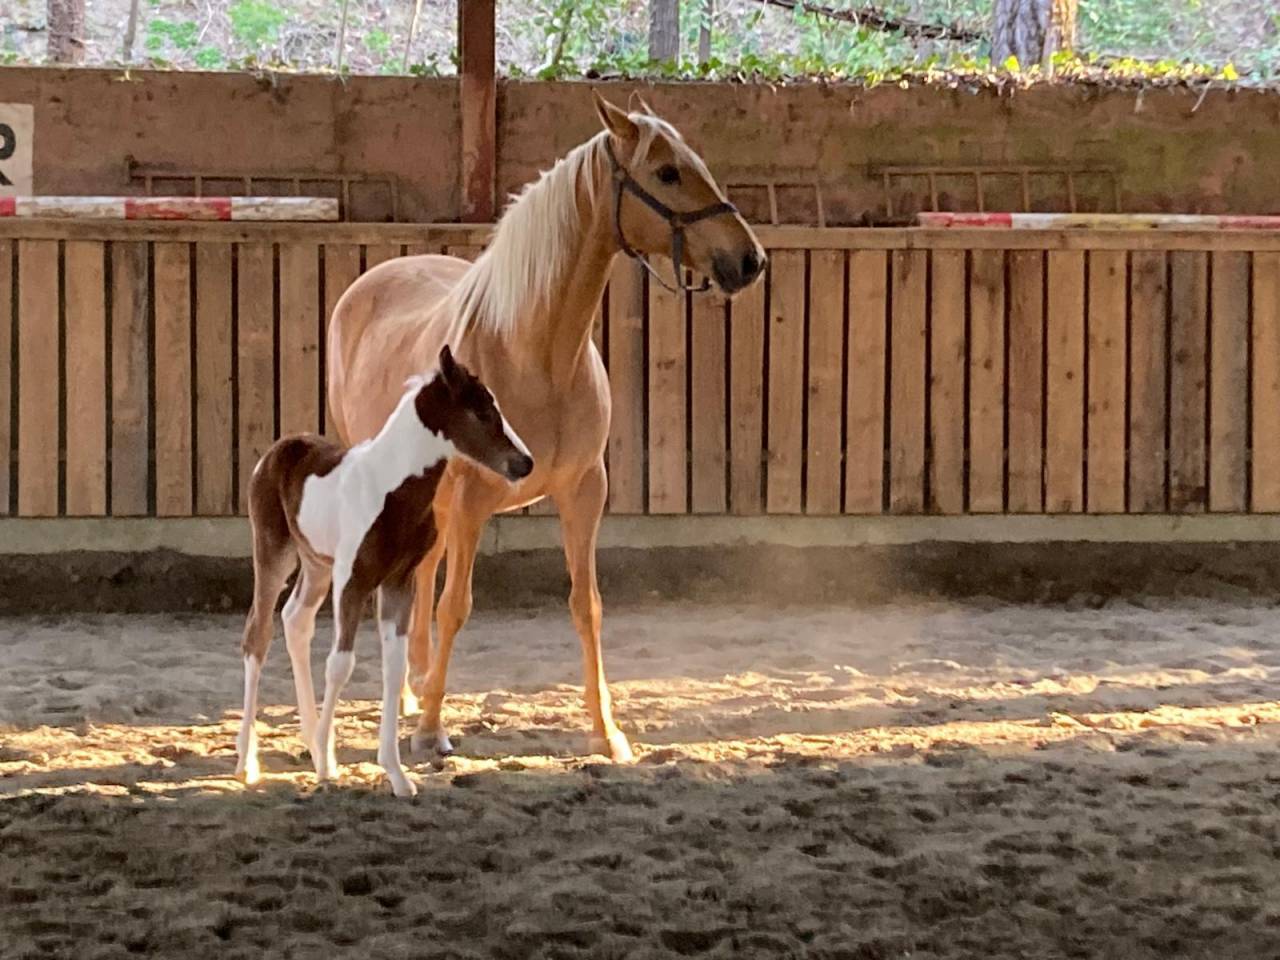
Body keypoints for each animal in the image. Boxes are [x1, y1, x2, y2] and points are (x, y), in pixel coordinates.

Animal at [235, 345, 533, 797]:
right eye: (481, 410)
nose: (525, 463)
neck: (391, 489)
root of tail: (277, 450)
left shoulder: (398, 582)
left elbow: (396, 669)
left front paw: (395, 774)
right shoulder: (353, 579)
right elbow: (340, 664)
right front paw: (328, 770)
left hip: (317, 566)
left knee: (295, 620)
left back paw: (312, 744)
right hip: (274, 554)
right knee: (258, 635)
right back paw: (248, 763)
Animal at [326, 91, 766, 761]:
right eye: (666, 172)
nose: (749, 259)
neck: (537, 354)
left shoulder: (583, 491)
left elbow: (587, 605)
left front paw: (607, 732)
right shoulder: (475, 500)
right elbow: (457, 606)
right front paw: (431, 729)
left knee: (418, 575)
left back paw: (413, 684)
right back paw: (409, 698)